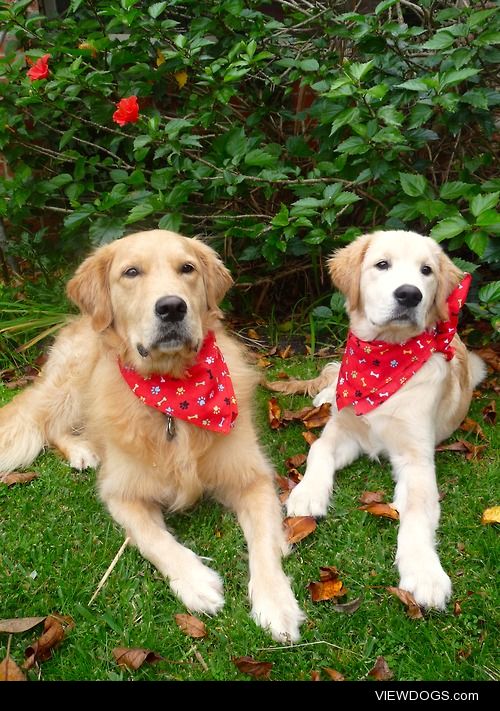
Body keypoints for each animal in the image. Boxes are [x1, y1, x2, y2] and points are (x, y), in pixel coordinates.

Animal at [270, 232, 484, 612]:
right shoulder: (342, 430)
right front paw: (307, 493)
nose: (409, 294)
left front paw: (425, 573)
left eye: (426, 271)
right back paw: (325, 395)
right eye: (382, 264)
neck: (382, 361)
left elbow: (416, 512)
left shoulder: (416, 459)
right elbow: (318, 451)